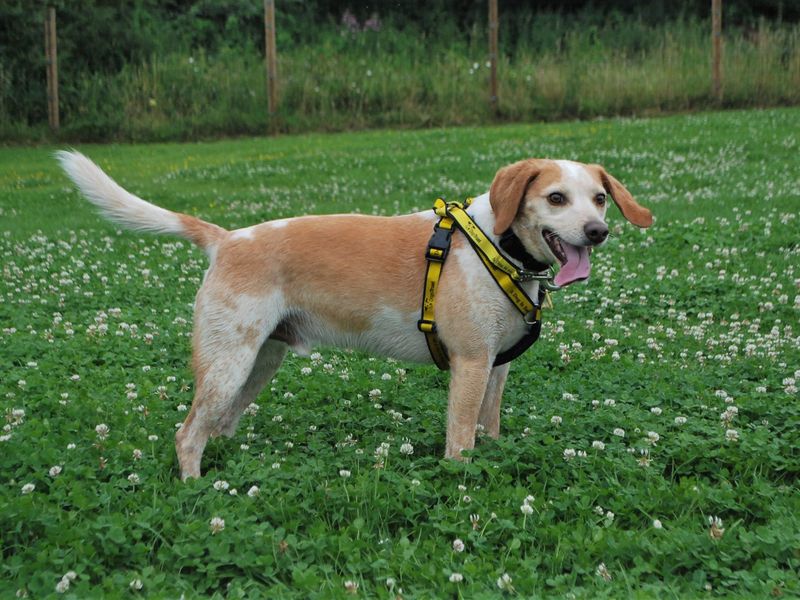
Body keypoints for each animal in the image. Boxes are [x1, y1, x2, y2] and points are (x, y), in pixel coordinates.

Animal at [59, 152, 652, 480]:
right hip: (228, 362)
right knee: (187, 435)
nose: (598, 231)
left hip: (257, 364)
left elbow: (490, 427)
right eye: (555, 198)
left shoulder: (496, 366)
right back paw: (195, 489)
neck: (500, 246)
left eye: (600, 198)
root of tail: (227, 239)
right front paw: (462, 482)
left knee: (219, 427)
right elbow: (461, 439)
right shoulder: (469, 363)